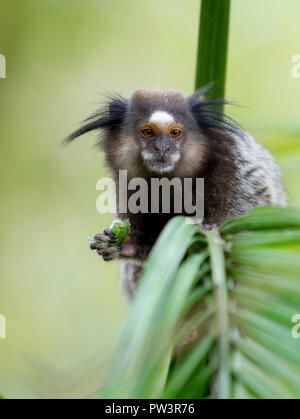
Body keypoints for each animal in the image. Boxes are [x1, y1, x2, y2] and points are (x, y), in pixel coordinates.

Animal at [67, 85, 286, 296]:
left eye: (175, 133)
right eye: (148, 132)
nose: (162, 148)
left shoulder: (233, 164)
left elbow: (247, 221)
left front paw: (211, 230)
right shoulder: (126, 181)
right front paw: (124, 244)